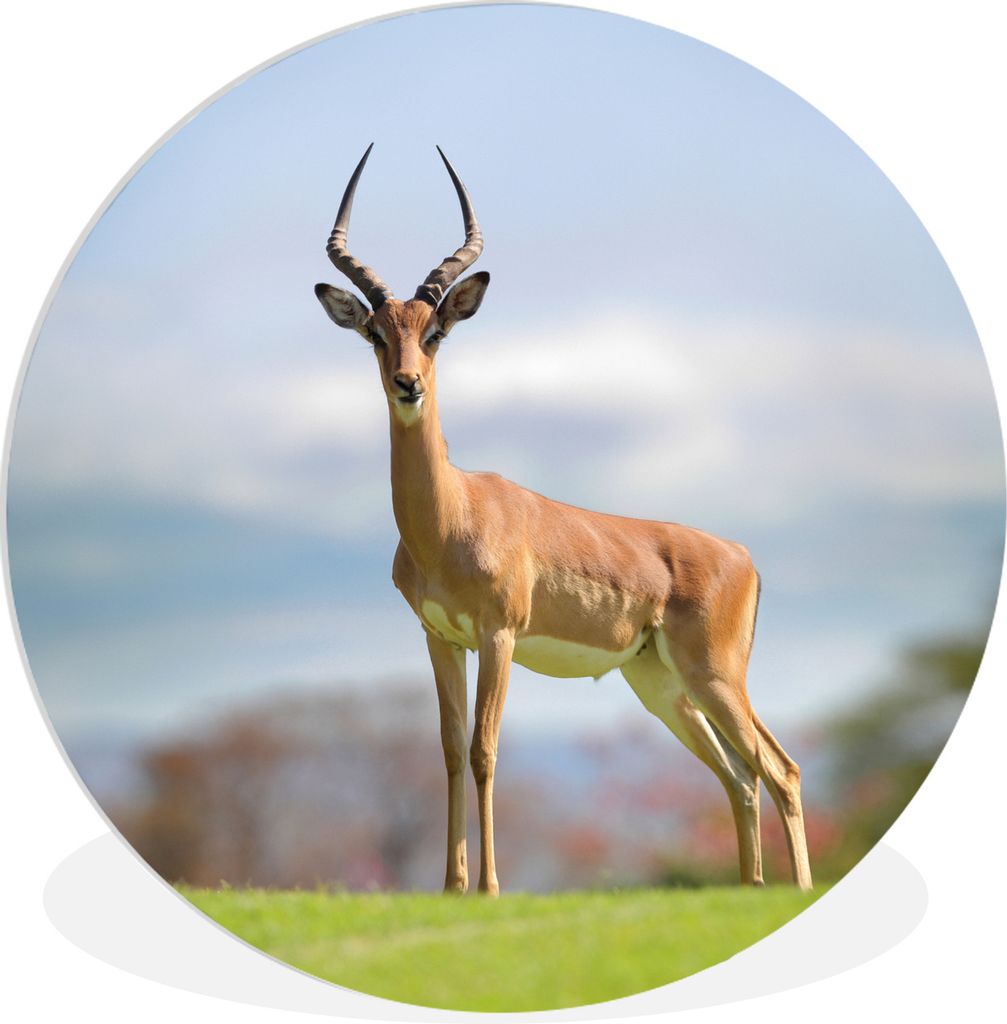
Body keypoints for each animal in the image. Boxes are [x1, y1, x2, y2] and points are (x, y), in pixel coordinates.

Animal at [314, 145, 813, 894]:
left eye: (435, 333)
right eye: (375, 333)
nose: (409, 384)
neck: (451, 519)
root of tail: (741, 555)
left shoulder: (499, 634)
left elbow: (485, 749)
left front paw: (490, 889)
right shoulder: (441, 639)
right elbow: (449, 751)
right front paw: (451, 888)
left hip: (716, 675)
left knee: (780, 770)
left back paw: (790, 889)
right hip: (662, 685)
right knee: (739, 777)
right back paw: (750, 887)